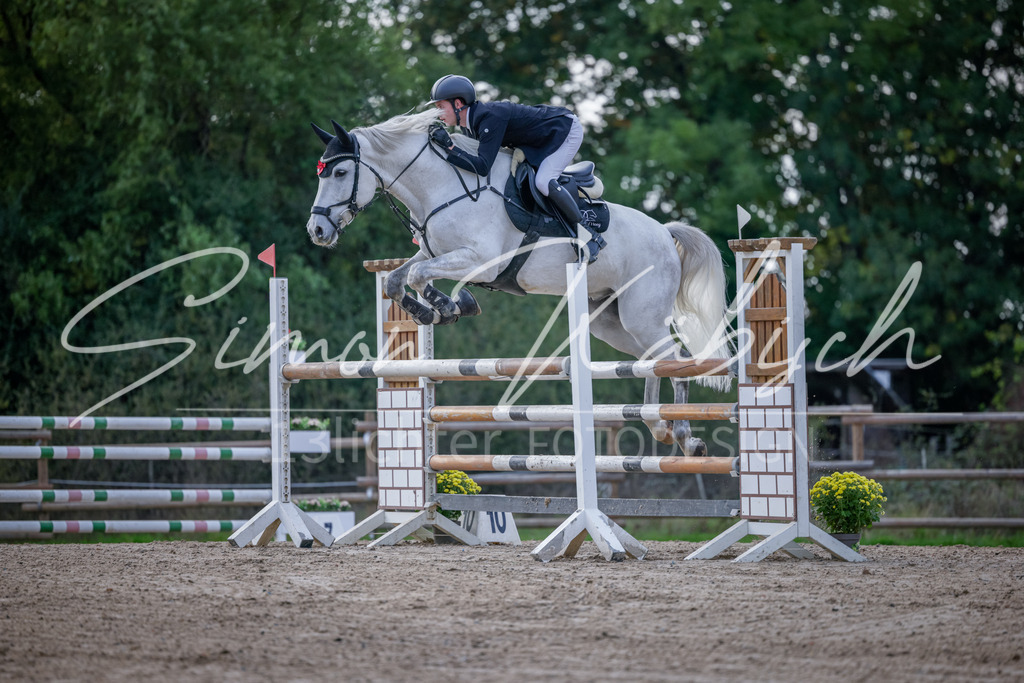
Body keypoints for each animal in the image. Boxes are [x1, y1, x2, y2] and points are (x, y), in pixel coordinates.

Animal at [306, 109, 733, 457]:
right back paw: (659, 425)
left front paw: (447, 306)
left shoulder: (480, 261)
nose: (317, 231)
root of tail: (664, 231)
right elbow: (397, 278)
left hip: (641, 315)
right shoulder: (432, 252)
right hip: (612, 322)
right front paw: (435, 310)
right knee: (654, 362)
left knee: (673, 359)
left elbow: (416, 276)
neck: (443, 187)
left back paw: (684, 436)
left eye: (340, 173)